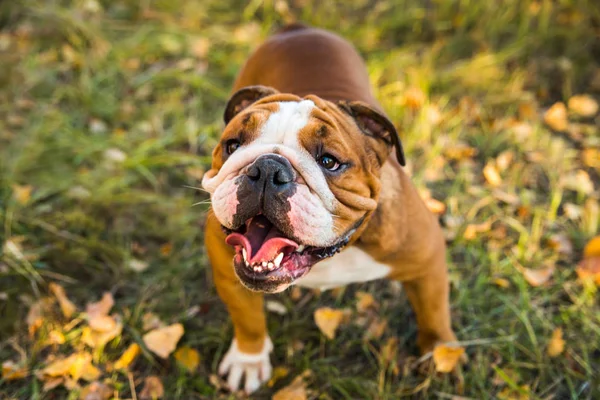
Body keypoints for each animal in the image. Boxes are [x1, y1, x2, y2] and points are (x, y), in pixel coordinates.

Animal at [202, 22, 454, 394]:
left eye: (329, 162)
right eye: (232, 146)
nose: (267, 169)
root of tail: (298, 28)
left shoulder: (428, 259)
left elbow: (434, 312)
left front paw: (441, 353)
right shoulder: (226, 267)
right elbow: (248, 319)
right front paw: (249, 360)